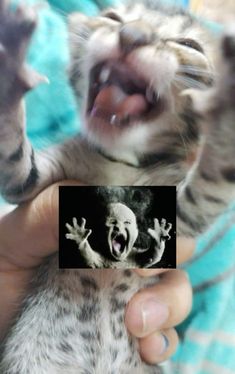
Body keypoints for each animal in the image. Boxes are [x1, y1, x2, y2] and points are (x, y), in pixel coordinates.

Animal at [0, 0, 235, 372]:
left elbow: (207, 189)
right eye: (112, 19)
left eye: (189, 45)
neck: (120, 165)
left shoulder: (178, 218)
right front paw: (10, 66)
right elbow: (14, 165)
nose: (133, 34)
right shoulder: (30, 180)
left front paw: (226, 116)